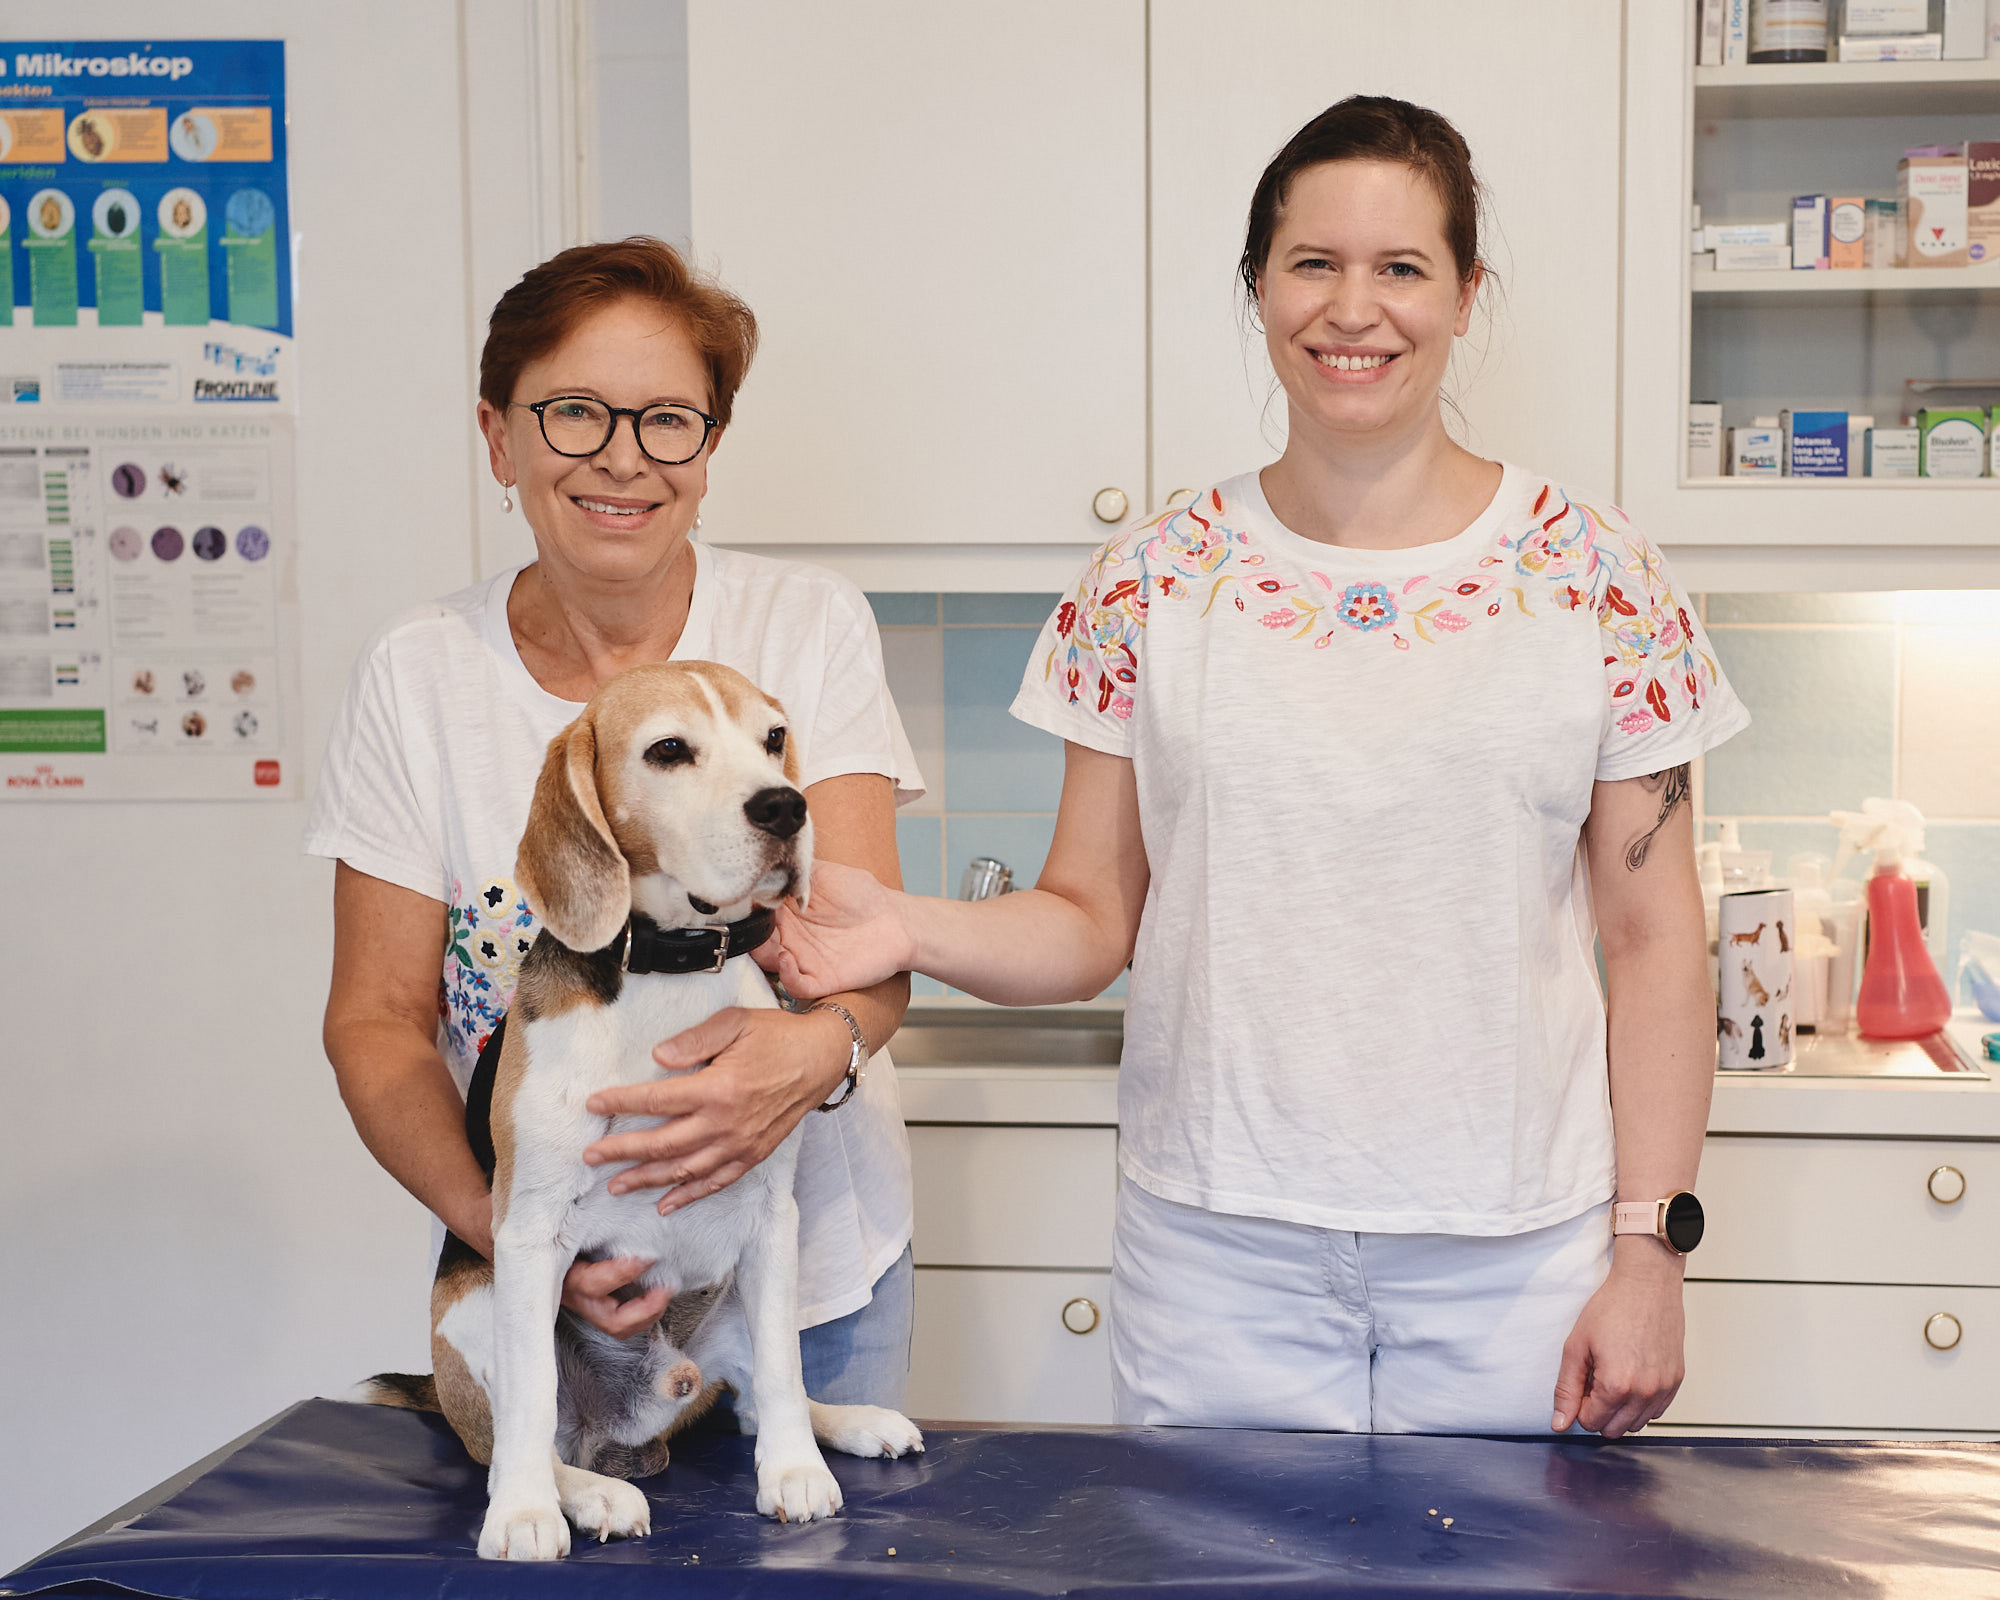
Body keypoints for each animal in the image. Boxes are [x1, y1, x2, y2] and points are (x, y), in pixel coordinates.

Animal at [390, 664, 920, 1560]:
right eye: (668, 751)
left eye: (773, 738)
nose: (785, 807)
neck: (669, 973)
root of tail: (631, 1426)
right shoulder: (528, 1233)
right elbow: (529, 1398)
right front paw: (526, 1516)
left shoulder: (771, 1213)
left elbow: (785, 1369)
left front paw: (795, 1474)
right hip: (472, 1310)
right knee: (518, 1438)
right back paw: (583, 1494)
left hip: (733, 1306)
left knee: (757, 1395)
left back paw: (847, 1424)